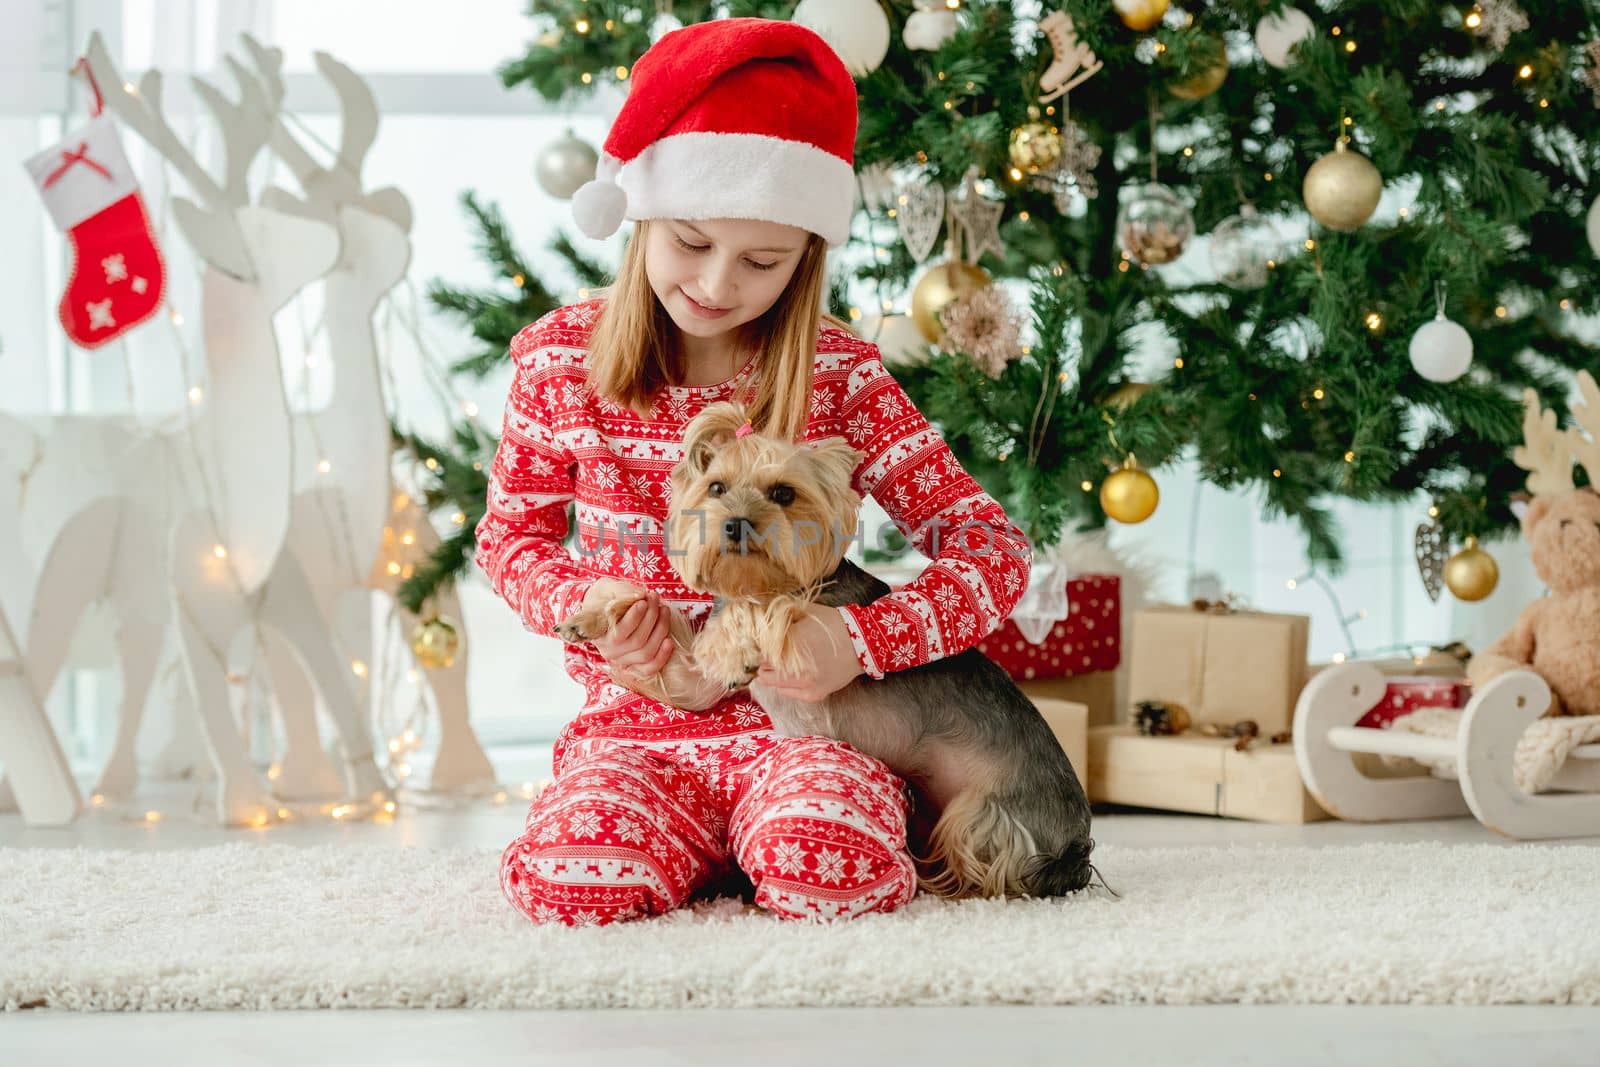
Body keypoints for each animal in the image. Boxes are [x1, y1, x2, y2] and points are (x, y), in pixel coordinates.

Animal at [665, 404, 1100, 895]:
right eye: (716, 487)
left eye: (783, 493)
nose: (734, 523)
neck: (762, 579)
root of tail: (1075, 850)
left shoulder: (810, 628)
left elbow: (770, 609)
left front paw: (740, 645)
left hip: (982, 815)